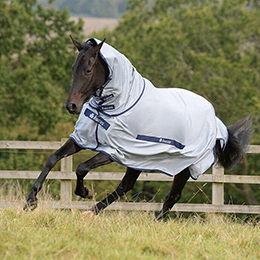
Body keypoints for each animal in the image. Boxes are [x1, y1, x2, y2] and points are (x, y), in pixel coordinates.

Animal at [23, 36, 252, 219]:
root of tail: (216, 121)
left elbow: (81, 168)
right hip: (140, 159)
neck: (119, 103)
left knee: (172, 196)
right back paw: (92, 211)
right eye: (73, 68)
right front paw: (30, 202)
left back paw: (149, 221)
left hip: (183, 167)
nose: (71, 106)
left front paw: (85, 192)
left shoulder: (115, 150)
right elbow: (52, 158)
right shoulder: (83, 139)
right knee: (126, 186)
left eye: (88, 69)